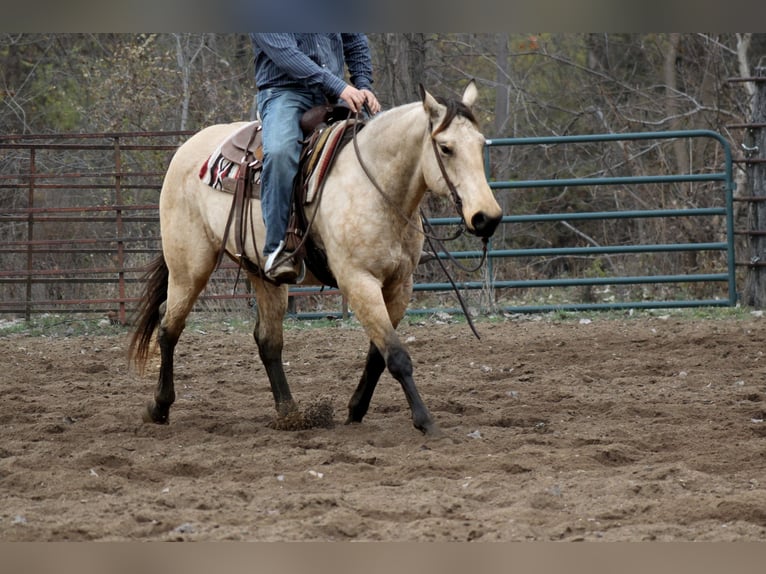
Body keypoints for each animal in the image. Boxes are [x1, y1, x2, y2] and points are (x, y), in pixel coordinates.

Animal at [129, 81, 502, 436]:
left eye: (480, 144)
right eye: (446, 148)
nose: (487, 217)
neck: (375, 187)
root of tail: (187, 149)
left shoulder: (400, 284)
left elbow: (378, 354)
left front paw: (355, 410)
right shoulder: (358, 281)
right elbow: (396, 356)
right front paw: (426, 421)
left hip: (263, 274)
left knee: (268, 340)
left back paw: (290, 414)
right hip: (189, 266)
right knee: (169, 326)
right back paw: (159, 407)